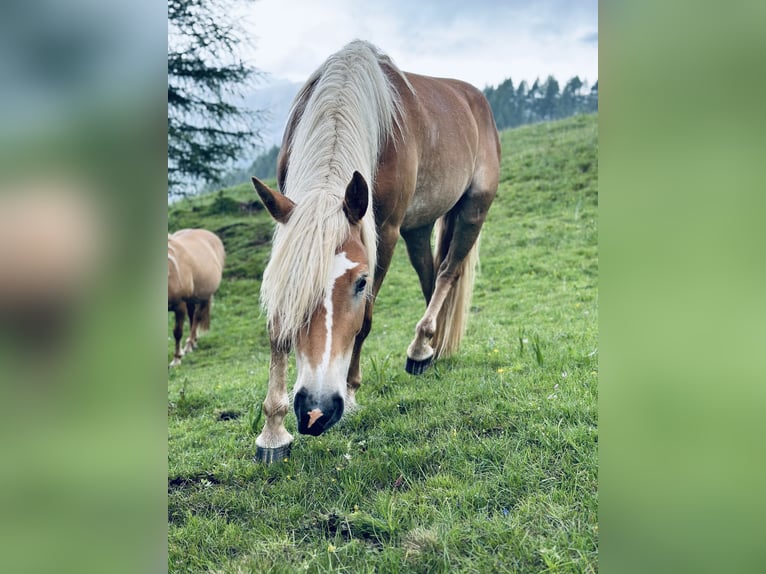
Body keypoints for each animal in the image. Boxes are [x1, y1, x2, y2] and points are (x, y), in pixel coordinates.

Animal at [167, 227, 225, 366]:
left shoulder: (180, 306)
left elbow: (177, 332)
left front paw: (177, 359)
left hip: (203, 296)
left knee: (196, 317)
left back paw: (189, 345)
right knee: (192, 316)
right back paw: (192, 342)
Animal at [254, 39, 504, 464]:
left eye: (360, 282)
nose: (316, 410)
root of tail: (476, 98)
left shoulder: (383, 234)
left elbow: (366, 321)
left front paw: (352, 392)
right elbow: (278, 327)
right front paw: (273, 430)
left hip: (474, 208)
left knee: (448, 272)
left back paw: (419, 350)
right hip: (419, 227)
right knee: (430, 277)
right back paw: (432, 348)